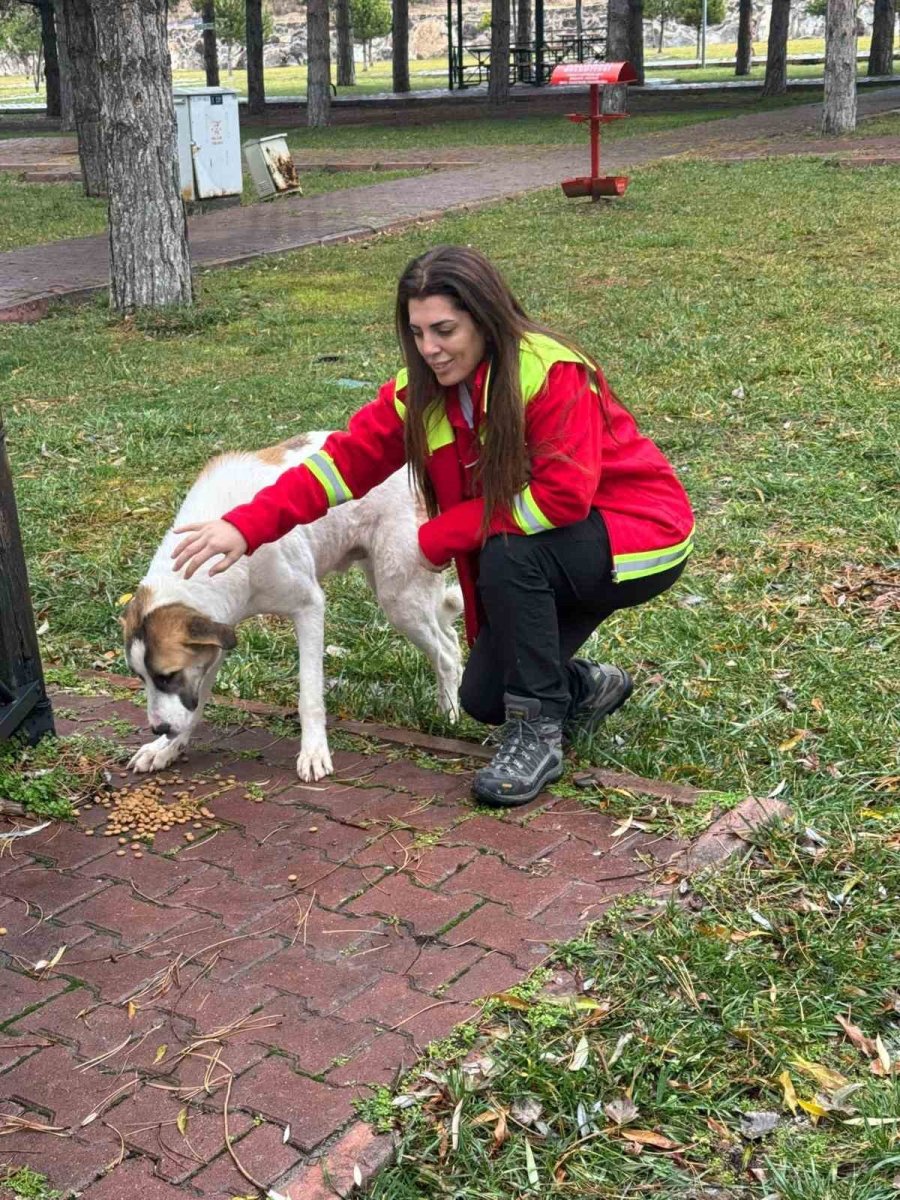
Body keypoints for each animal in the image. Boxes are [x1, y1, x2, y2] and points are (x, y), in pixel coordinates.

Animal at [123, 436, 465, 782]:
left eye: (168, 676)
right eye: (141, 677)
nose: (158, 728)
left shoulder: (309, 607)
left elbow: (309, 695)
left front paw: (314, 752)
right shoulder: (217, 636)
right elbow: (197, 699)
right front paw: (166, 748)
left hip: (399, 599)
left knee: (446, 654)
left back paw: (449, 715)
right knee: (449, 636)